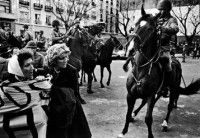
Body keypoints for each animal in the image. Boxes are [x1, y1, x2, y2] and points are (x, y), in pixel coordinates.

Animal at [119, 5, 200, 138]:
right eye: (134, 26)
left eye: (149, 29)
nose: (130, 49)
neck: (140, 70)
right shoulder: (130, 95)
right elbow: (127, 114)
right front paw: (124, 131)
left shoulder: (150, 95)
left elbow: (148, 118)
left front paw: (150, 135)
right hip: (160, 90)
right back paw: (135, 114)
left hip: (173, 88)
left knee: (170, 105)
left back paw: (165, 123)